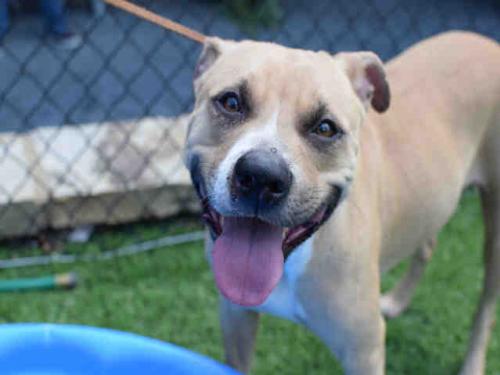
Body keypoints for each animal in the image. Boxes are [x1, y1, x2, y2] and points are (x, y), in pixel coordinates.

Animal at [184, 30, 500, 374]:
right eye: (231, 102)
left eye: (325, 128)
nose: (262, 176)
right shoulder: (235, 315)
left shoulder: (363, 350)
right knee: (428, 243)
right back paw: (397, 301)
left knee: (485, 306)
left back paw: (472, 363)